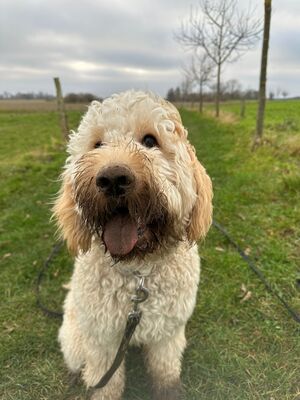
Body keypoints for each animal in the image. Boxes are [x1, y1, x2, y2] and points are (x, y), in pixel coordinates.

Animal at [52, 90, 212, 400]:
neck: (139, 272)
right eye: (97, 144)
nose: (113, 179)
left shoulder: (167, 333)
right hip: (76, 340)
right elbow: (105, 382)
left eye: (150, 141)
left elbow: (165, 371)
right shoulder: (102, 339)